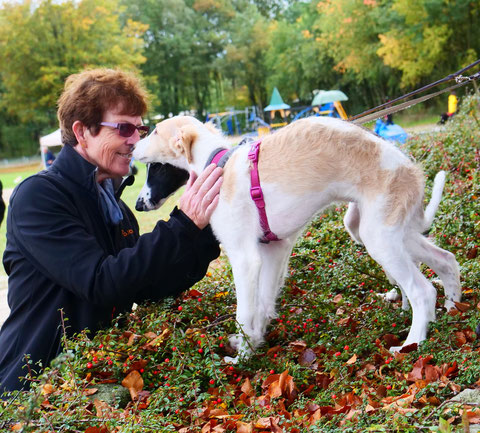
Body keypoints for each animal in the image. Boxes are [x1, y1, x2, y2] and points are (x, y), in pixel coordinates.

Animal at [132, 115, 462, 358]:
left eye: (156, 132)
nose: (137, 204)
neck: (218, 165)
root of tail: (410, 169)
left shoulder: (244, 258)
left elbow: (244, 312)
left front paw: (242, 359)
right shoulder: (273, 249)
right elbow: (263, 306)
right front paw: (254, 343)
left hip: (380, 238)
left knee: (422, 291)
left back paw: (411, 343)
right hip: (381, 230)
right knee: (446, 260)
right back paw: (454, 309)